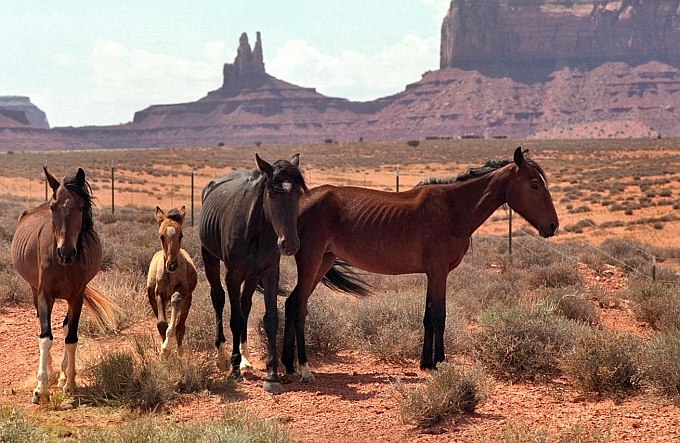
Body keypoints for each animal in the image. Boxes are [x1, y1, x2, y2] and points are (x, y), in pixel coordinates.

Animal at [10, 168, 117, 404]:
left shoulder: (77, 296)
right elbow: (45, 337)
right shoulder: (45, 294)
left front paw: (70, 384)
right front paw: (41, 389)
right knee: (43, 325)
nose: (66, 253)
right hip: (34, 291)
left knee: (66, 326)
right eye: (54, 206)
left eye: (81, 207)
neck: (64, 264)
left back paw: (61, 376)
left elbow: (71, 338)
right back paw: (50, 372)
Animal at [145, 206, 195, 358]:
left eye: (181, 236)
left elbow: (176, 302)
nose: (172, 265)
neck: (170, 275)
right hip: (153, 299)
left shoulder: (181, 292)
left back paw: (179, 353)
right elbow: (161, 323)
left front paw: (167, 347)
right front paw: (164, 352)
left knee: (181, 326)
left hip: (187, 301)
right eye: (161, 236)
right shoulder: (159, 294)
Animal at [198, 153, 306, 396]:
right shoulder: (233, 274)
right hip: (210, 258)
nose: (290, 244)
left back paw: (246, 359)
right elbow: (235, 319)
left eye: (297, 193)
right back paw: (222, 357)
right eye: (272, 193)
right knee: (218, 299)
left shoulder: (269, 272)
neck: (256, 231)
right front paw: (233, 369)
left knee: (245, 304)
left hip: (251, 275)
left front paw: (272, 375)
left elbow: (271, 318)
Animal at [282, 148, 556, 382]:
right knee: (299, 307)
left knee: (292, 303)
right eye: (534, 185)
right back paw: (304, 369)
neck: (454, 209)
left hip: (323, 261)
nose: (553, 225)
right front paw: (440, 364)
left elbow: (428, 316)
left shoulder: (433, 274)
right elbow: (439, 316)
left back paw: (288, 366)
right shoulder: (439, 272)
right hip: (311, 260)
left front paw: (426, 364)